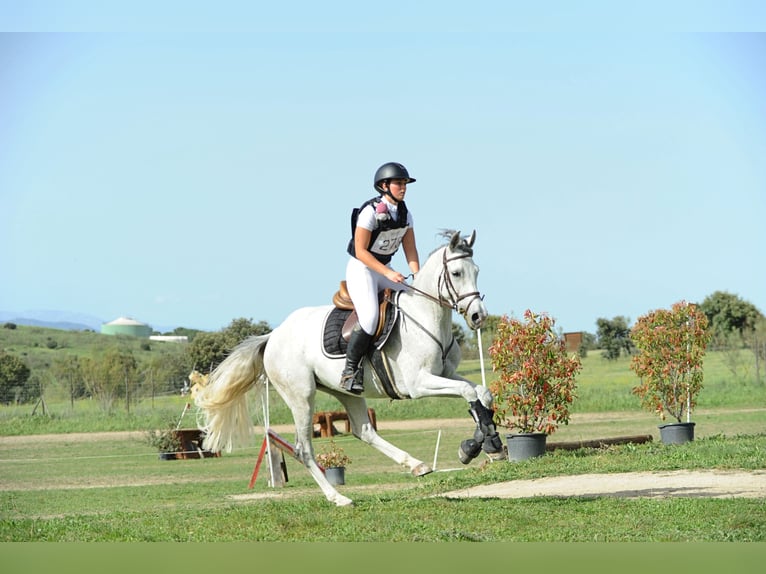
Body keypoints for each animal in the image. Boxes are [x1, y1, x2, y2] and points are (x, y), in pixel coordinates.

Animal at [198, 231, 508, 508]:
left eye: (476, 271)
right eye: (456, 273)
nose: (478, 316)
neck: (426, 317)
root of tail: (273, 336)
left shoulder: (446, 374)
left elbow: (482, 393)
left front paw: (482, 443)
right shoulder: (419, 383)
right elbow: (469, 391)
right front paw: (481, 446)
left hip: (346, 392)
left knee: (364, 430)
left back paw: (416, 465)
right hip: (301, 396)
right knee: (304, 448)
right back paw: (339, 498)